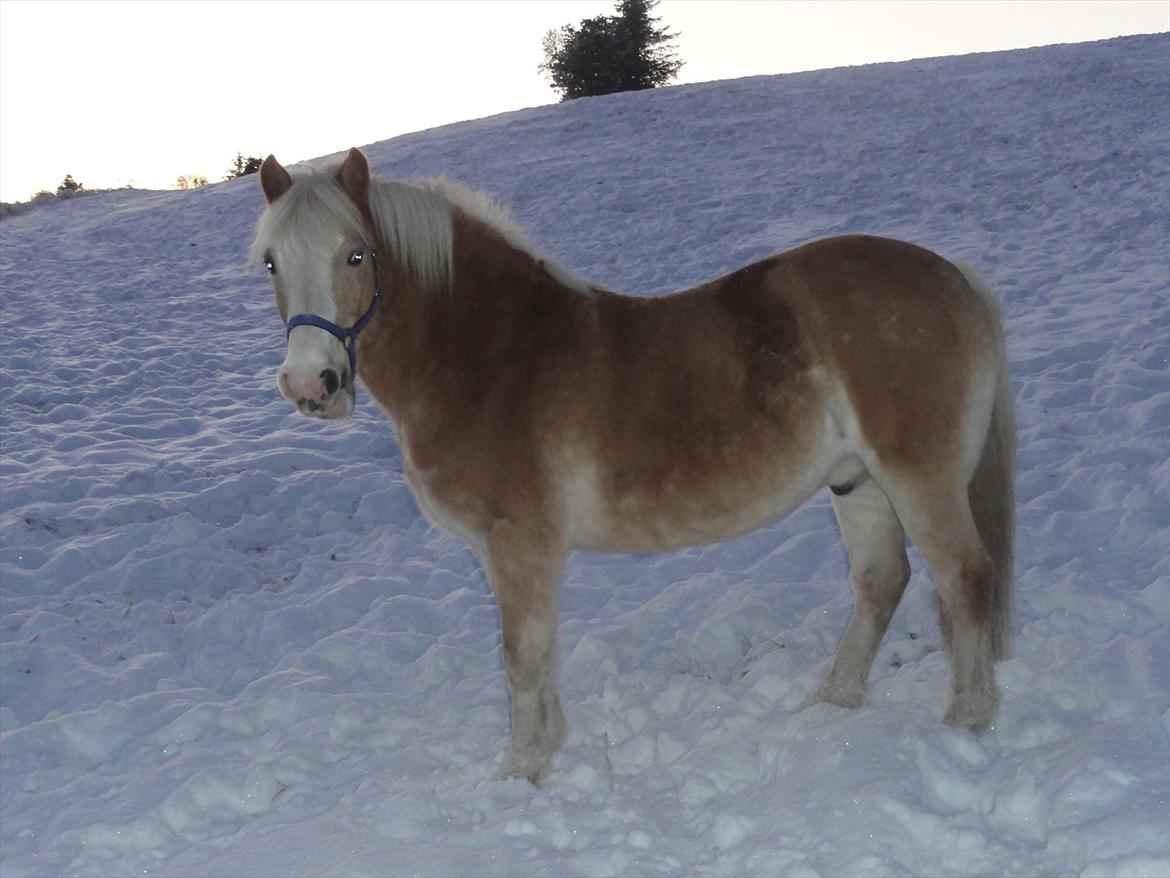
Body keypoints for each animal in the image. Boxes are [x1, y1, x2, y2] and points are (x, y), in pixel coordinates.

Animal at [249, 148, 1015, 786]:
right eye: (272, 263)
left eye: (356, 255)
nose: (311, 385)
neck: (495, 356)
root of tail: (953, 276)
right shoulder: (512, 555)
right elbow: (538, 654)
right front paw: (548, 748)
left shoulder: (519, 545)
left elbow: (520, 657)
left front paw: (521, 773)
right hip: (857, 482)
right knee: (883, 580)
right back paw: (833, 700)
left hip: (918, 479)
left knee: (966, 579)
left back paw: (967, 721)